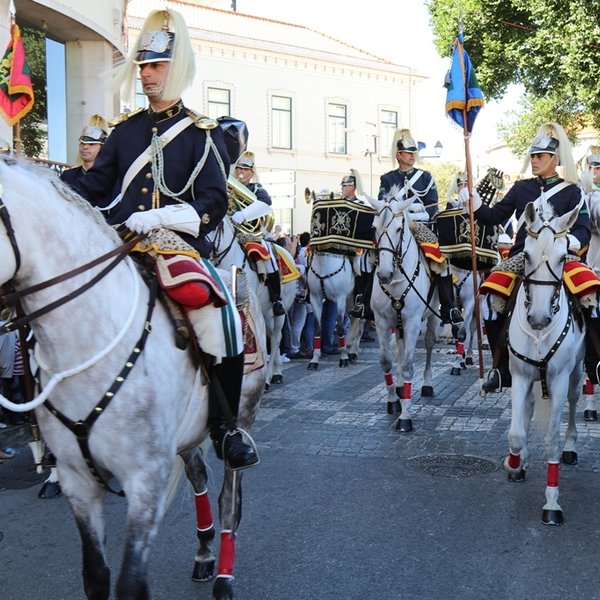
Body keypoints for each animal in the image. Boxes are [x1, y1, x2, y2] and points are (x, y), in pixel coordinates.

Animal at [0, 157, 264, 596]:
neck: (88, 336)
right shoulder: (78, 481)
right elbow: (95, 575)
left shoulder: (145, 482)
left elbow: (129, 584)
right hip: (187, 435)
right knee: (198, 474)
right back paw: (204, 551)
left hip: (240, 418)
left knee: (231, 499)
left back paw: (224, 576)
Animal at [207, 218, 296, 392]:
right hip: (265, 313)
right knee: (273, 337)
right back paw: (277, 373)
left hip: (280, 310)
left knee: (276, 338)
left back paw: (267, 379)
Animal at [366, 188, 436, 432]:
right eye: (374, 227)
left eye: (398, 229)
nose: (384, 274)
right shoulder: (382, 322)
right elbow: (387, 361)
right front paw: (393, 401)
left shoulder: (413, 323)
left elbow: (407, 366)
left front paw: (406, 417)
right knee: (399, 346)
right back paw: (397, 387)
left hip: (432, 318)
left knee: (429, 344)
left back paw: (427, 383)